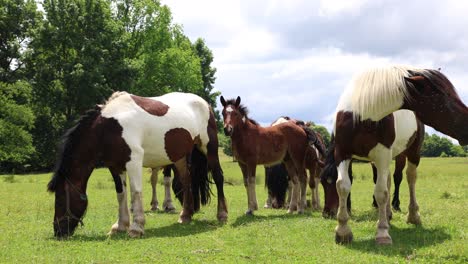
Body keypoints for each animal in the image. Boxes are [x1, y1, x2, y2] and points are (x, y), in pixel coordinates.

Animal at [47, 92, 229, 238]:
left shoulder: (133, 161)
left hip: (209, 148)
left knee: (218, 176)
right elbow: (121, 195)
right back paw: (185, 216)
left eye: (61, 200)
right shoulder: (115, 166)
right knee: (186, 181)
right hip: (180, 157)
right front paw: (120, 226)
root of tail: (205, 103)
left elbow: (136, 192)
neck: (109, 127)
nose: (58, 231)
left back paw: (222, 214)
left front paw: (136, 227)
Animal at [322, 65, 468, 245]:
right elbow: (343, 186)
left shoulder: (382, 155)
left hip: (411, 153)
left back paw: (412, 215)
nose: (326, 213)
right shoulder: (343, 154)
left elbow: (381, 192)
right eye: (444, 96)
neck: (361, 116)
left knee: (410, 178)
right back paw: (388, 214)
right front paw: (343, 231)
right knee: (389, 180)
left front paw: (382, 232)